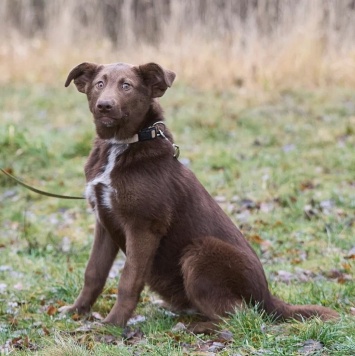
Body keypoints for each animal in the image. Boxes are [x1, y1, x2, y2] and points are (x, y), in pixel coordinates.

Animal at [62, 62, 340, 334]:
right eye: (100, 84)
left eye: (126, 86)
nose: (104, 105)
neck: (120, 145)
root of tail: (267, 298)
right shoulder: (105, 221)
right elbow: (93, 272)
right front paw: (78, 311)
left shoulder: (143, 226)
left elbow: (128, 280)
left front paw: (113, 325)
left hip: (200, 253)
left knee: (241, 315)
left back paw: (196, 327)